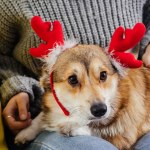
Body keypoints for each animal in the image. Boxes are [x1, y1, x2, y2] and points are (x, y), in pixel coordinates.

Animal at [14, 42, 150, 150]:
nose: (100, 110)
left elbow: (98, 131)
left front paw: (73, 127)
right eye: (72, 79)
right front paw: (25, 132)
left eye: (103, 75)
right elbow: (41, 116)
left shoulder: (123, 137)